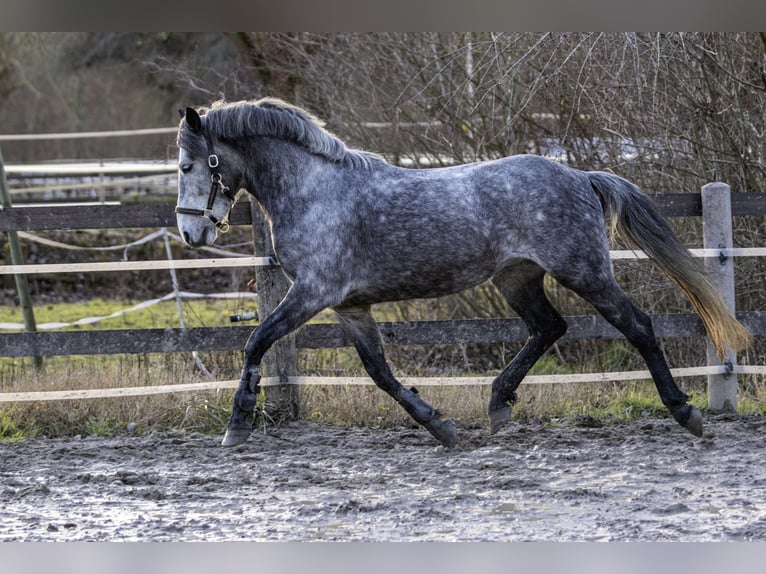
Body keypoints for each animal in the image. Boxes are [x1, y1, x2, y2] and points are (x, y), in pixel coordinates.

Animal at [175, 97, 751, 448]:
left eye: (188, 165)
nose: (189, 232)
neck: (315, 190)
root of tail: (579, 176)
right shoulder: (349, 305)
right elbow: (380, 372)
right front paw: (442, 428)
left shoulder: (313, 293)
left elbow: (255, 342)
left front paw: (237, 425)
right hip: (517, 278)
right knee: (549, 327)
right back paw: (497, 405)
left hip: (584, 272)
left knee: (638, 326)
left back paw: (687, 414)